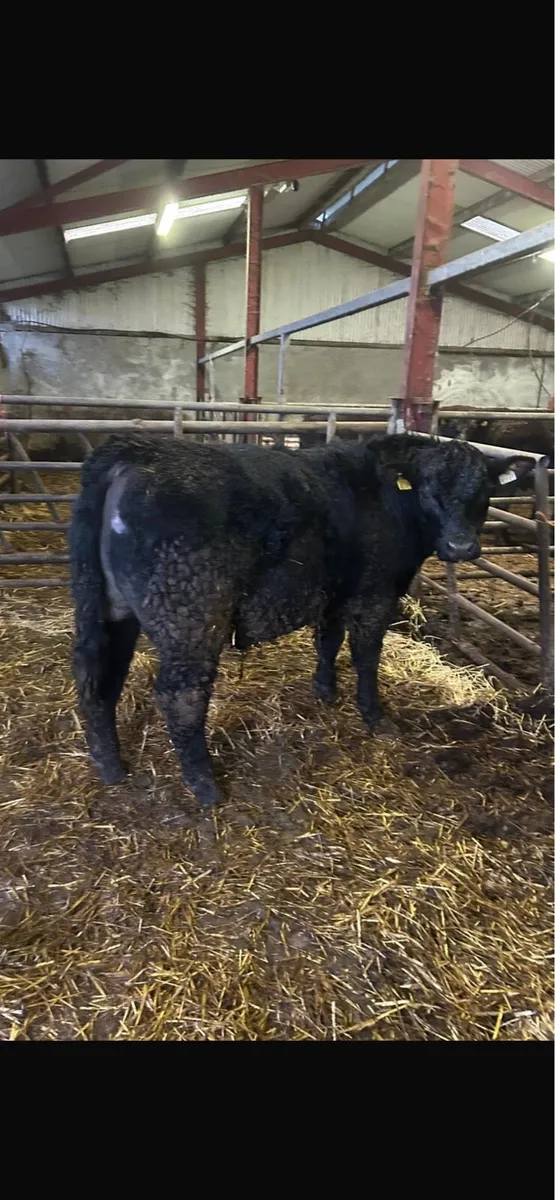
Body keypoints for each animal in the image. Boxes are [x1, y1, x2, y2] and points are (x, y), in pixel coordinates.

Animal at [69, 431, 536, 809]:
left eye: (484, 488)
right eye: (428, 489)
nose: (461, 546)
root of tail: (135, 451)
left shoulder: (333, 590)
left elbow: (328, 640)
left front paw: (325, 692)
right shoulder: (375, 592)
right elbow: (366, 655)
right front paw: (375, 717)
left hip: (106, 608)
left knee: (96, 677)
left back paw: (110, 765)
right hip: (191, 616)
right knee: (179, 695)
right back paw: (204, 785)